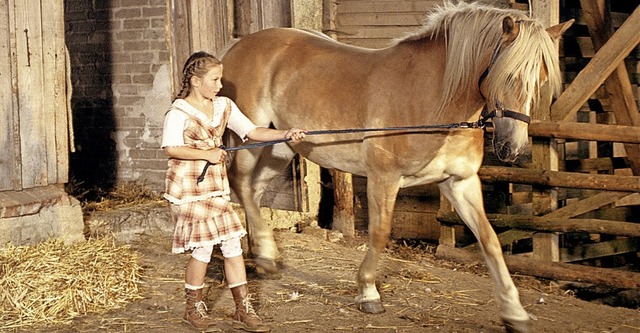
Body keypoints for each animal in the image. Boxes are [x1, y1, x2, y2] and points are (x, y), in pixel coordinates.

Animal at [222, 1, 572, 330]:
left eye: (541, 80)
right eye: (508, 75)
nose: (513, 148)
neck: (434, 99)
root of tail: (236, 48)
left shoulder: (460, 183)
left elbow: (490, 241)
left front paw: (515, 312)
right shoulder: (384, 179)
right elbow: (379, 233)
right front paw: (368, 292)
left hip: (280, 146)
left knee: (253, 191)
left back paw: (263, 255)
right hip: (249, 140)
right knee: (240, 184)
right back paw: (265, 254)